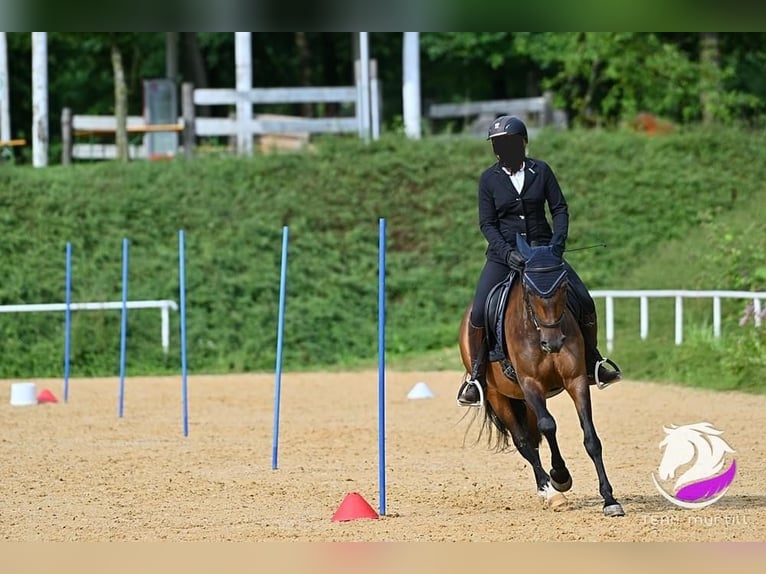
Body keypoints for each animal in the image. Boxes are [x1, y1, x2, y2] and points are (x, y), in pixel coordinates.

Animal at [460, 234, 628, 516]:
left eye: (563, 286)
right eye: (530, 291)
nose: (554, 343)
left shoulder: (576, 380)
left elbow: (591, 438)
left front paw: (609, 499)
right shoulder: (531, 384)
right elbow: (548, 425)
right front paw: (560, 477)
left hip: (523, 399)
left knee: (533, 438)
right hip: (498, 394)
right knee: (523, 441)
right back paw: (550, 491)